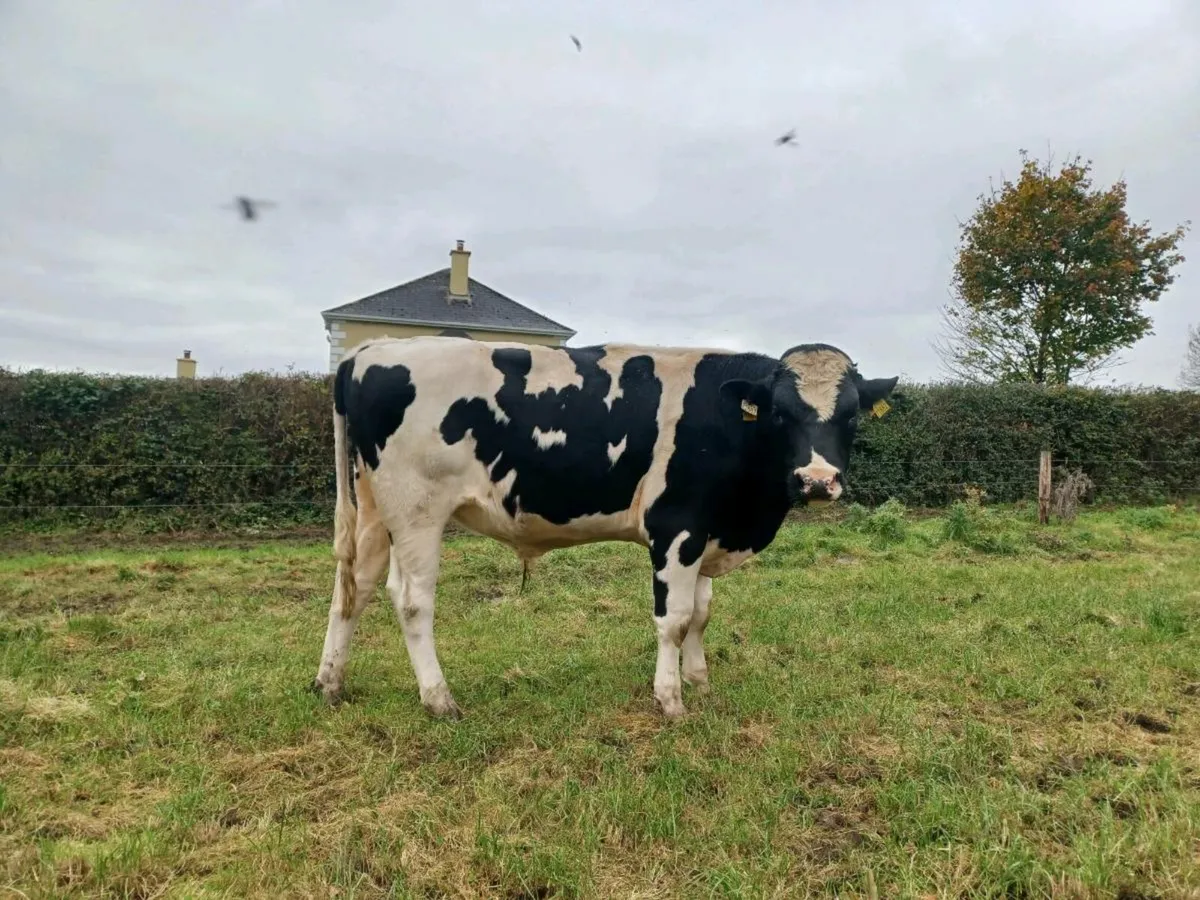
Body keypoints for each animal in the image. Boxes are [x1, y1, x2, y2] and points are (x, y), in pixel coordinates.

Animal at [312, 336, 897, 720]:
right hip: (417, 510)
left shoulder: (707, 532)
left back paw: (330, 683)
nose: (817, 481)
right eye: (780, 413)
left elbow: (702, 614)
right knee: (412, 601)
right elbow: (674, 619)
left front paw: (700, 683)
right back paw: (439, 699)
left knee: (354, 587)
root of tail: (369, 351)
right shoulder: (676, 529)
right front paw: (671, 701)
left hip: (374, 509)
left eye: (851, 414)